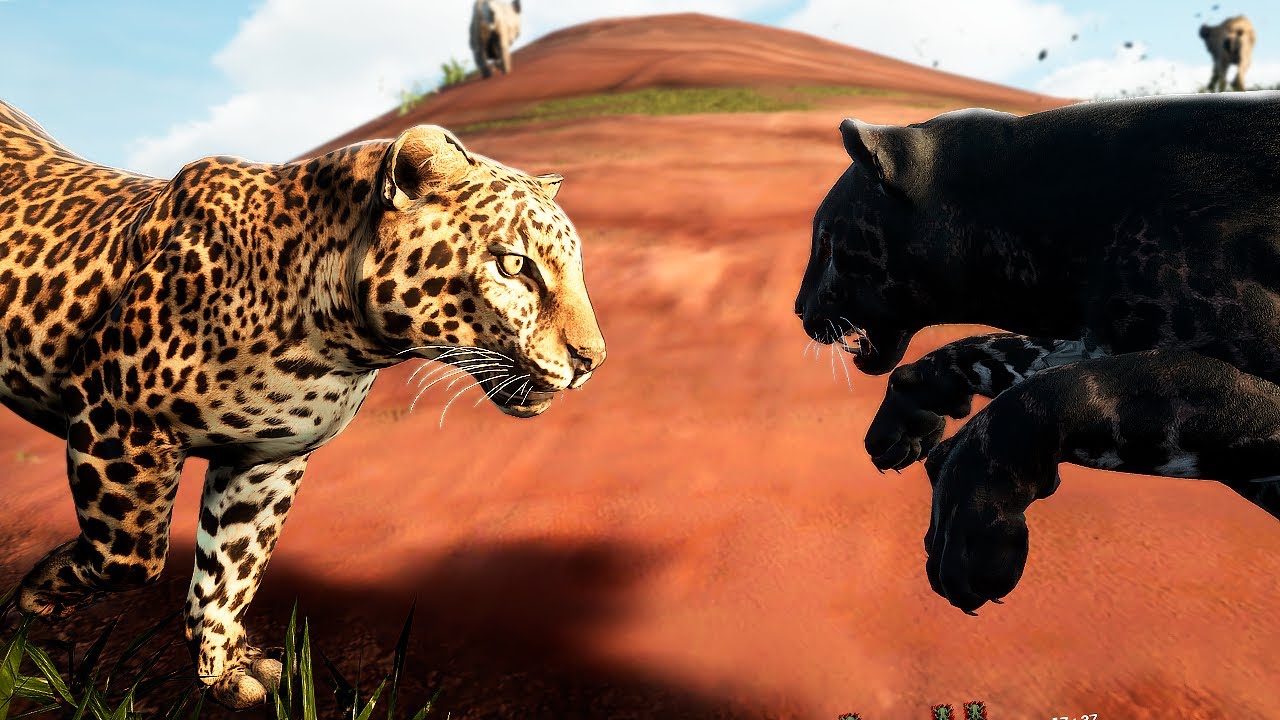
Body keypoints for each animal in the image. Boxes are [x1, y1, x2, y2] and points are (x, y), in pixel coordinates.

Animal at [0, 99, 605, 709]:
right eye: (514, 265)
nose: (592, 360)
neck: (333, 340)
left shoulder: (267, 461)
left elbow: (232, 570)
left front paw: (226, 672)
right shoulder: (116, 411)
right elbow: (131, 555)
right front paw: (39, 591)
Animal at [794, 91, 1280, 615]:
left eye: (828, 243)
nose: (797, 307)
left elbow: (1056, 394)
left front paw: (968, 532)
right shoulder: (1096, 338)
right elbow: (997, 357)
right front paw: (906, 422)